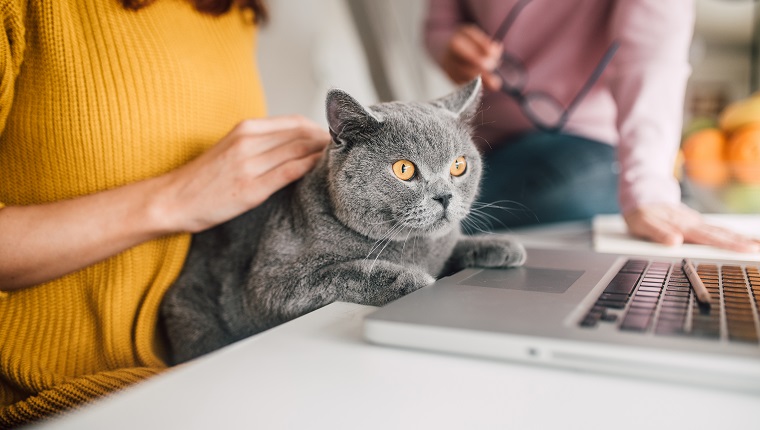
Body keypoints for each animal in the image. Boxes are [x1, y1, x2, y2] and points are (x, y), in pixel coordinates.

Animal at [160, 77, 524, 362]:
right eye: (404, 169)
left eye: (459, 165)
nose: (445, 196)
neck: (416, 248)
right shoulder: (271, 285)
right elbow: (350, 271)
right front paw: (412, 279)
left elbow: (454, 248)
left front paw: (502, 246)